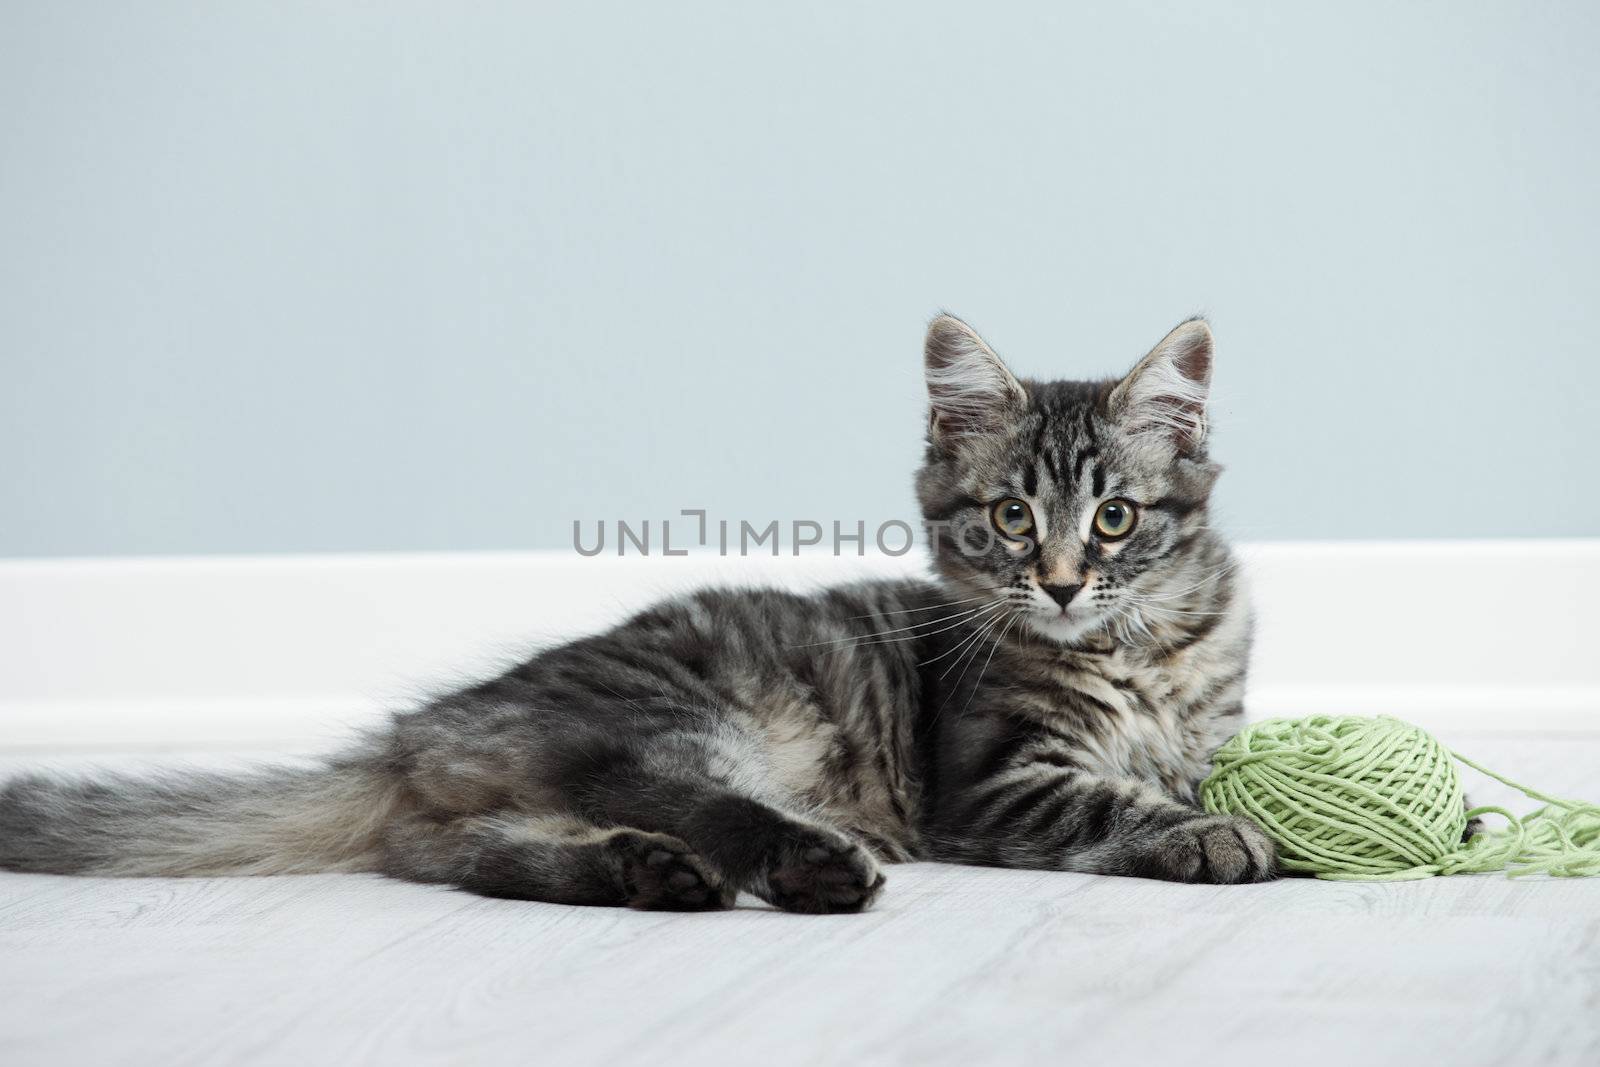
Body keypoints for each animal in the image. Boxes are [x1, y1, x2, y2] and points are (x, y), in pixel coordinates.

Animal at [0, 313, 1273, 915]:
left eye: (1113, 517)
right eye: (1011, 516)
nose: (1057, 580)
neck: (1140, 651)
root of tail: (417, 734)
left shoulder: (1200, 723)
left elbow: (1187, 766)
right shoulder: (994, 778)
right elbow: (1110, 798)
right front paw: (1212, 834)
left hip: (518, 797)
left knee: (468, 852)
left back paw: (650, 874)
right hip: (692, 715)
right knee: (655, 785)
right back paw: (807, 862)